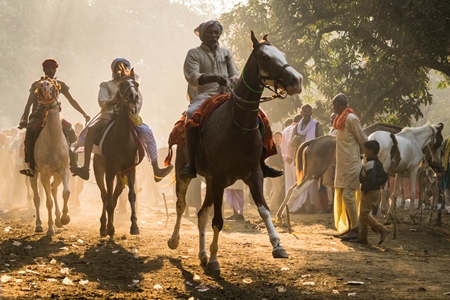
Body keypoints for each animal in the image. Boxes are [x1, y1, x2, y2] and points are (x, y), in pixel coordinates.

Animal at [30, 76, 71, 236]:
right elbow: (48, 202)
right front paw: (50, 229)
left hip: (57, 174)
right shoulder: (44, 173)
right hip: (33, 172)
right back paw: (39, 225)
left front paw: (65, 218)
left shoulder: (64, 169)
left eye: (52, 84)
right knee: (37, 197)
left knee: (54, 189)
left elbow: (66, 192)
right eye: (40, 84)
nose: (42, 85)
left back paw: (59, 219)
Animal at [168, 31, 302, 272]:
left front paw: (278, 246)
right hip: (185, 172)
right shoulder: (220, 179)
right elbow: (217, 221)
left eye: (282, 54)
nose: (297, 81)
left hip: (210, 181)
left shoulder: (254, 174)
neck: (237, 126)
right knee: (182, 205)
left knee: (201, 214)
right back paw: (174, 240)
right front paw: (214, 259)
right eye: (265, 57)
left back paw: (202, 254)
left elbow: (264, 209)